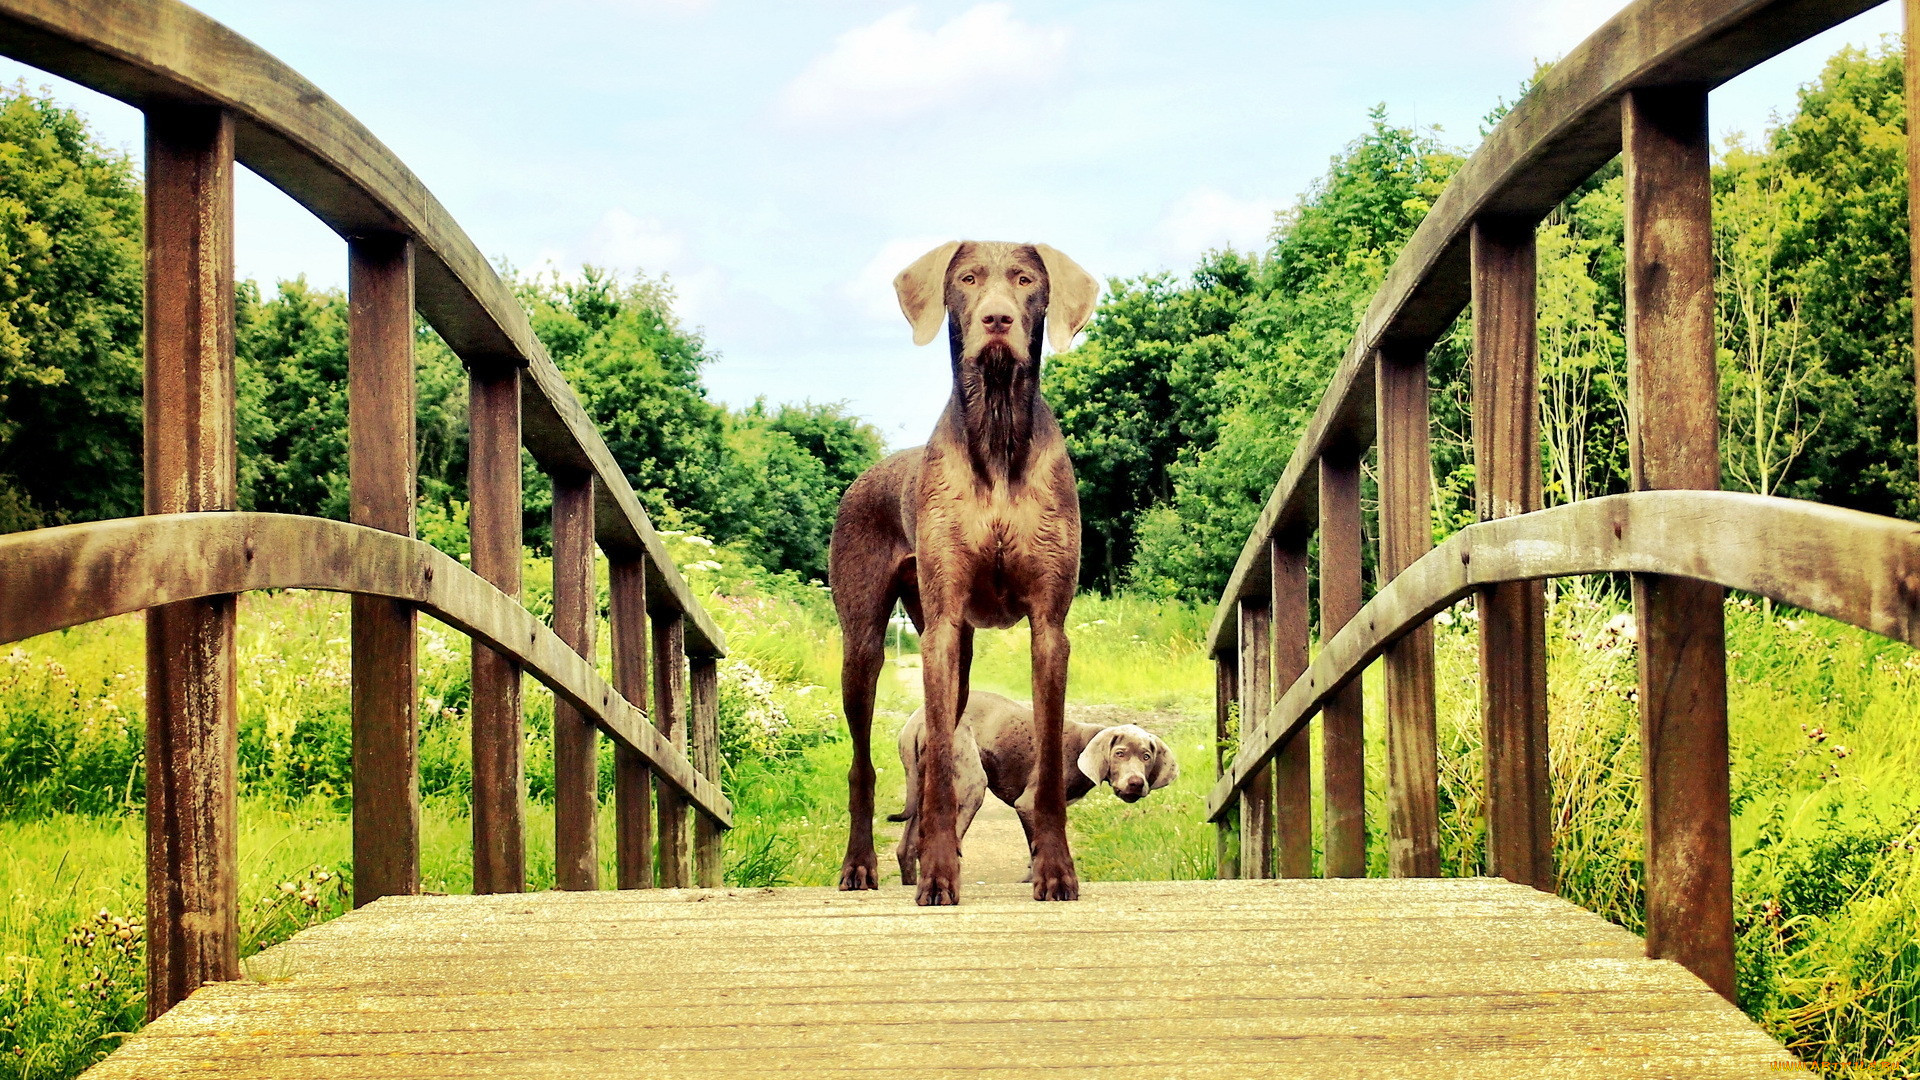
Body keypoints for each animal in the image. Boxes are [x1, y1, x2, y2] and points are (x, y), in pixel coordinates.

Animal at [825, 239, 1098, 903]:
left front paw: (1056, 871)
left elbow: (1046, 764)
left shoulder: (1048, 629)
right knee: (865, 766)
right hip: (865, 647)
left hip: (961, 663)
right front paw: (939, 877)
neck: (997, 437)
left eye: (1025, 280)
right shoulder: (944, 626)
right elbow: (942, 781)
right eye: (968, 279)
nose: (997, 320)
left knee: (929, 762)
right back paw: (861, 865)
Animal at [890, 687, 1175, 883]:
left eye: (1146, 757)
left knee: (908, 848)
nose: (1136, 784)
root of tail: (916, 720)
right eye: (1119, 754)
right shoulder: (1028, 804)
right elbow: (1037, 847)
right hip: (971, 786)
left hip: (923, 787)